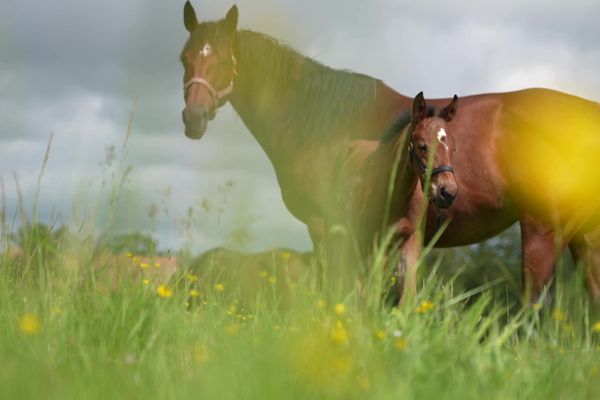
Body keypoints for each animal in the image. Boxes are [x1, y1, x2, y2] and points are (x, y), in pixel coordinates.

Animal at [179, 1, 600, 304]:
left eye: (222, 59)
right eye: (185, 57)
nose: (193, 118)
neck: (322, 118)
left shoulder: (325, 225)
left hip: (542, 229)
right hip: (583, 236)